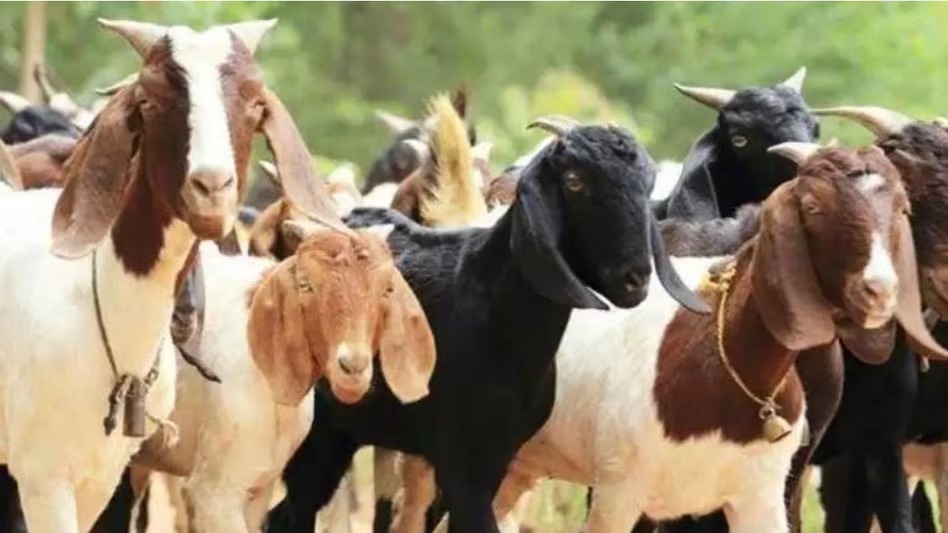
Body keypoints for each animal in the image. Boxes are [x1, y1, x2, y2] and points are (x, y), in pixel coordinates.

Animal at [265, 117, 708, 533]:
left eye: (646, 185)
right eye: (575, 181)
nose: (636, 279)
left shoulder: (497, 457)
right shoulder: (462, 464)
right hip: (319, 432)